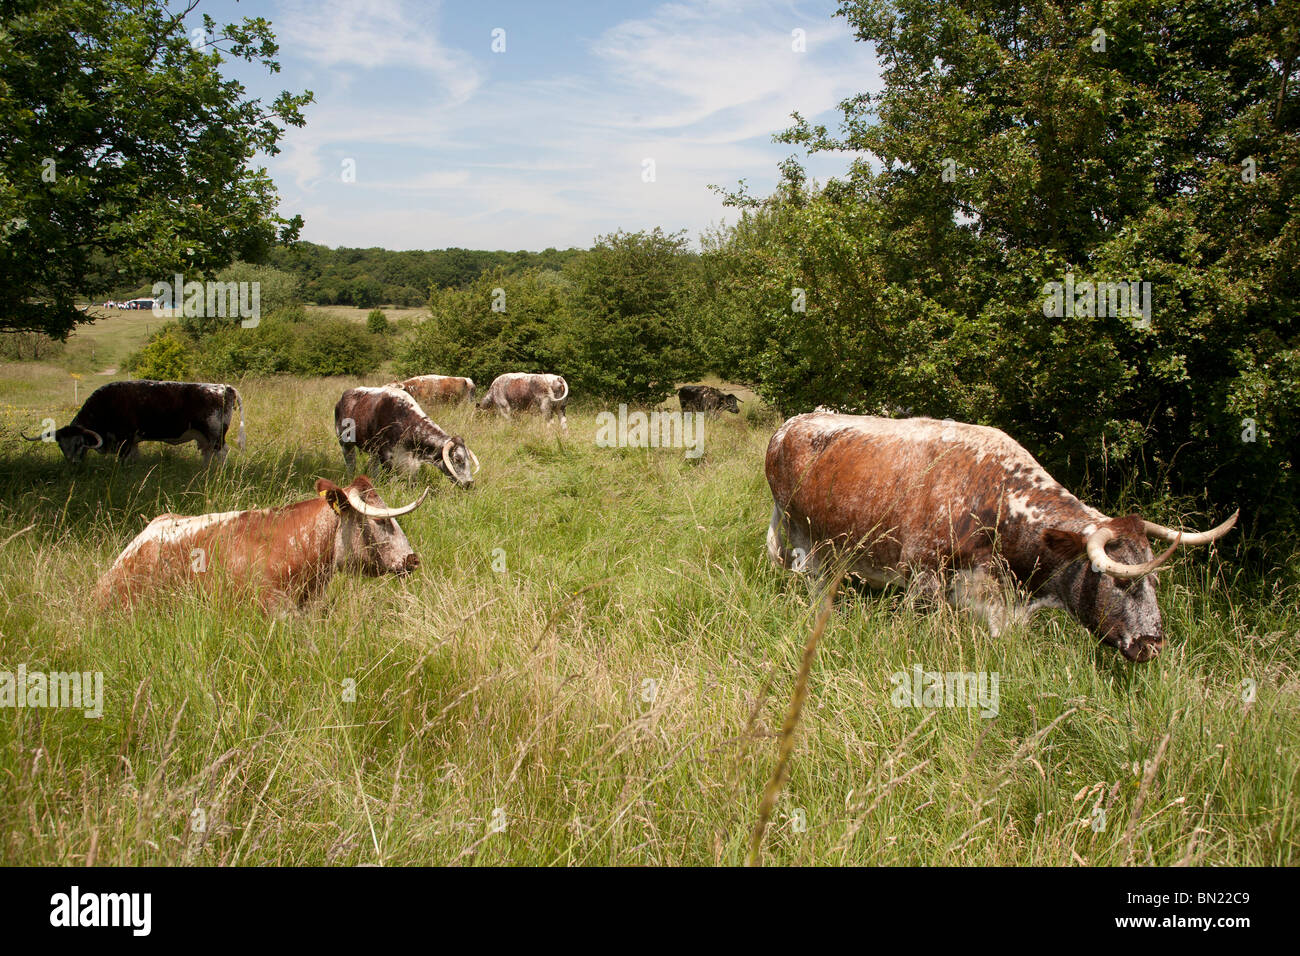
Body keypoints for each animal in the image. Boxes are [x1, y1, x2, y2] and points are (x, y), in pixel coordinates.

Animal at [22, 379, 244, 465]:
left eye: (79, 443)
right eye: (61, 445)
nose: (72, 463)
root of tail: (224, 387)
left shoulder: (125, 439)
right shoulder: (133, 442)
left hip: (216, 436)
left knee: (222, 453)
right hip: (206, 439)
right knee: (208, 454)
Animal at [332, 385, 480, 486]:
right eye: (458, 459)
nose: (469, 483)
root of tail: (343, 397)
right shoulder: (386, 456)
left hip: (373, 451)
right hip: (345, 443)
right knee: (351, 463)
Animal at [764, 416, 1232, 660]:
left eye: (1153, 581)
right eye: (1120, 581)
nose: (1153, 645)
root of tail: (789, 425)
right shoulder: (923, 577)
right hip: (801, 534)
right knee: (810, 577)